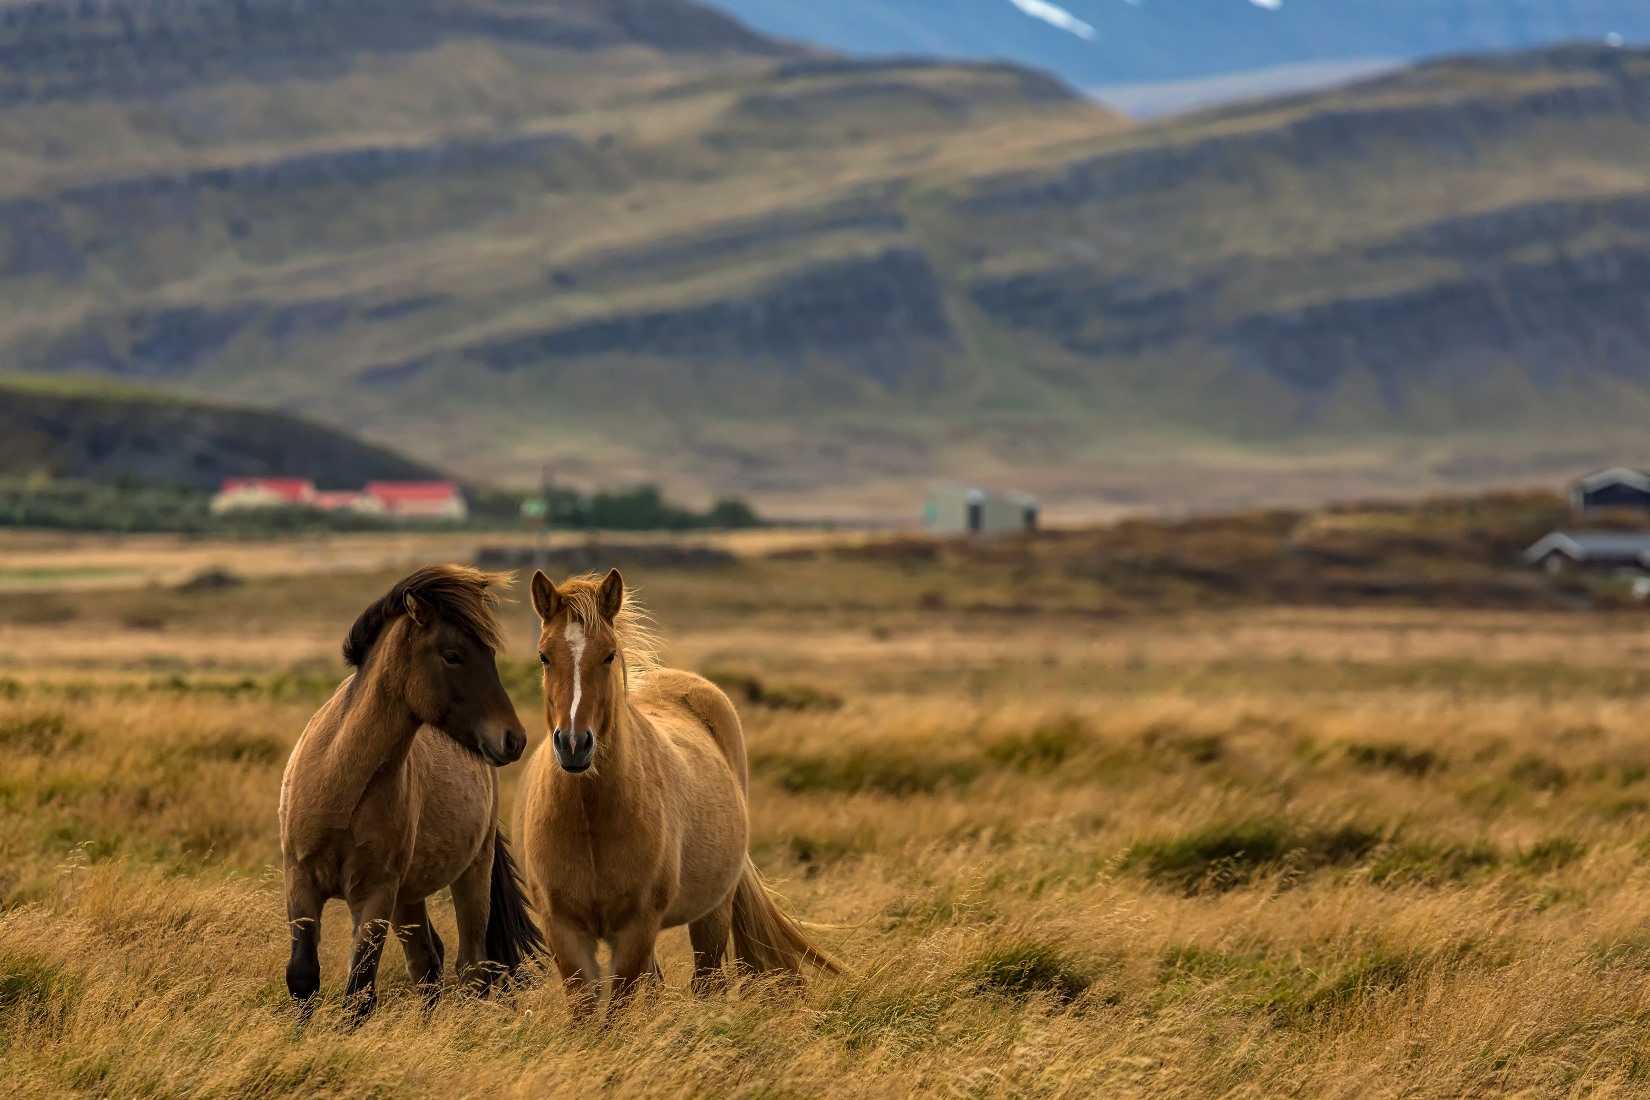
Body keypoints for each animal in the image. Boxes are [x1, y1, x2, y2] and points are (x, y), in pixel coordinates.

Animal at [280, 567, 541, 1022]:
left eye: (490, 655)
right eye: (453, 655)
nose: (514, 739)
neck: (340, 783)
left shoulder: (375, 894)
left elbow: (360, 992)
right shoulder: (300, 880)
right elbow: (303, 977)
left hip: (470, 876)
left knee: (471, 968)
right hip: (409, 898)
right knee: (428, 962)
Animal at [514, 573, 838, 1022]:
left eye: (609, 655)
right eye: (544, 656)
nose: (574, 745)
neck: (589, 819)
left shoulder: (637, 927)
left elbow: (616, 1015)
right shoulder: (563, 928)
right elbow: (587, 1015)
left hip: (712, 914)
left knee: (708, 984)